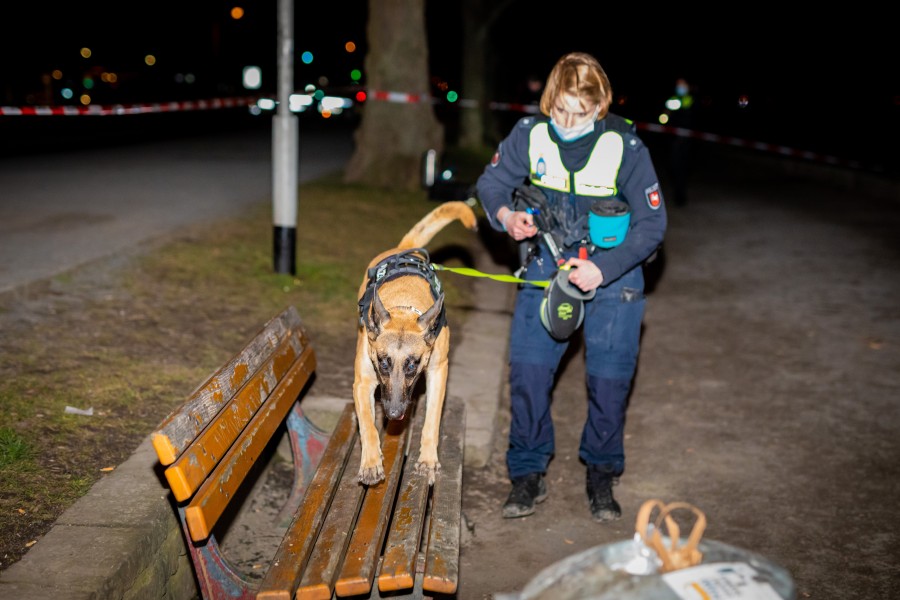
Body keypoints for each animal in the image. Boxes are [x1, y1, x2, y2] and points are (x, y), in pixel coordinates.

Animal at [354, 202, 478, 488]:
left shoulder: (438, 371)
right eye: (383, 362)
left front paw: (428, 460)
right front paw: (371, 461)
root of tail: (404, 247)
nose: (394, 413)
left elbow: (432, 420)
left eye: (413, 365)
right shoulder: (363, 380)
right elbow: (366, 423)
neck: (403, 304)